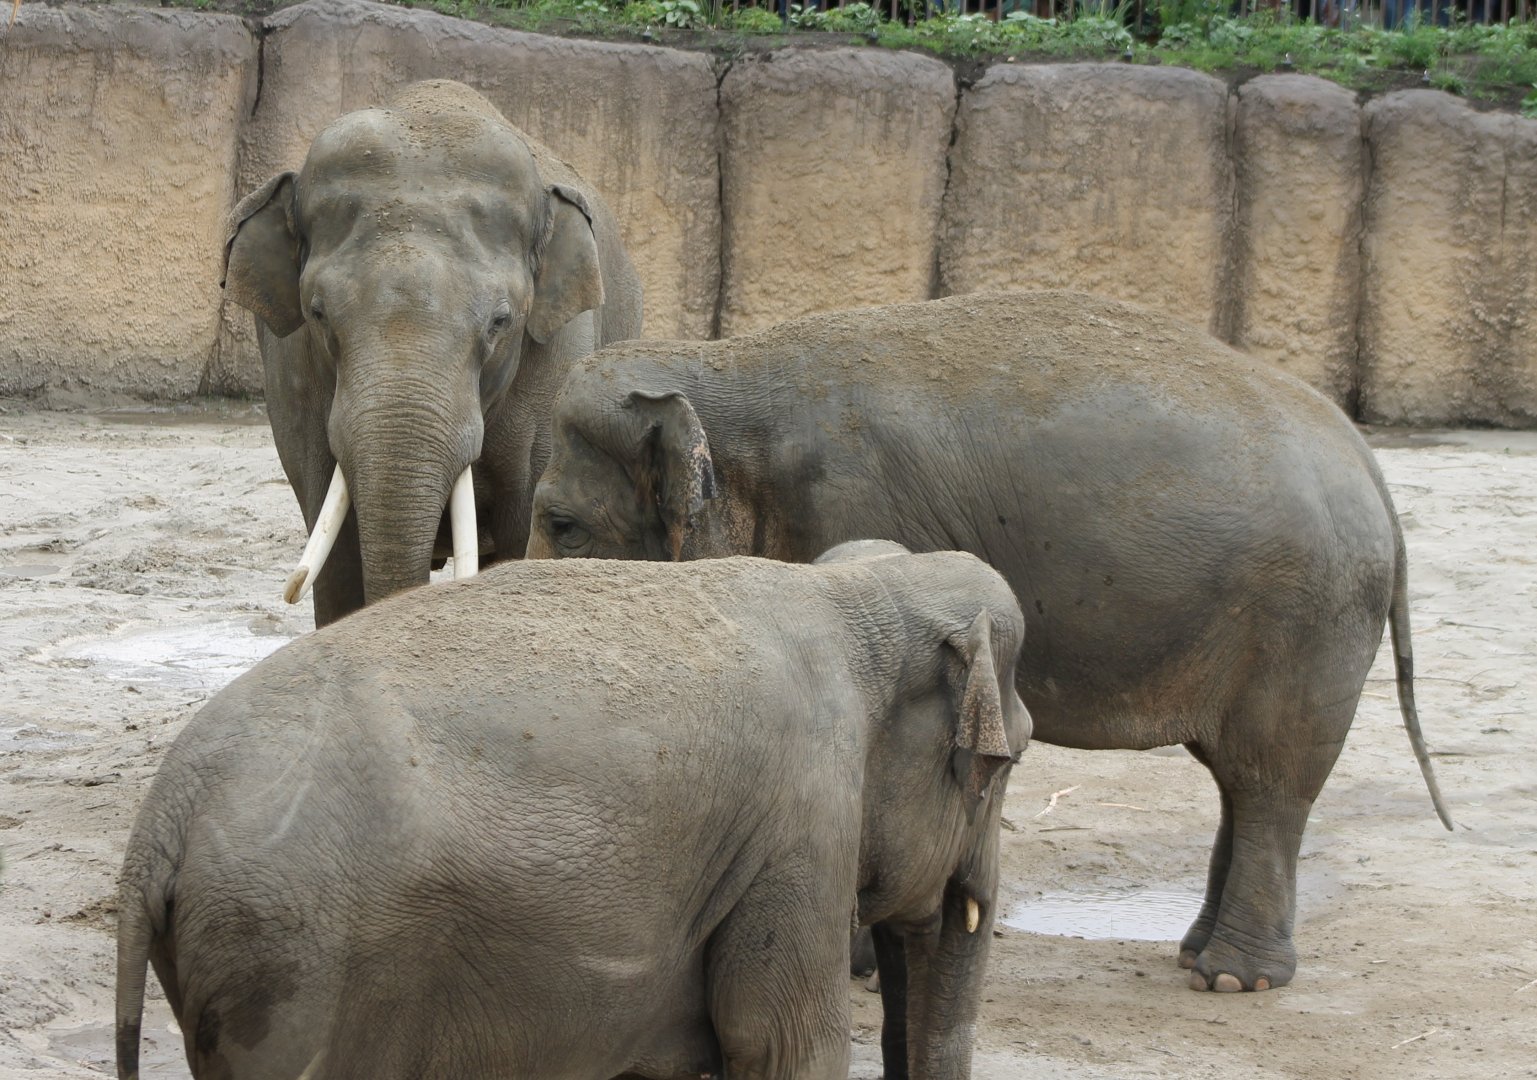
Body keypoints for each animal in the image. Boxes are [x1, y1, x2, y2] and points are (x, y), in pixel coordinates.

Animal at [116, 547, 1031, 1080]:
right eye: (1007, 763)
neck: (854, 598)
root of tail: (157, 823)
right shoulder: (799, 830)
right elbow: (780, 1046)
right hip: (295, 962)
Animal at [222, 79, 642, 627]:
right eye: (318, 314)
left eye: (501, 321)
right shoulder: (293, 377)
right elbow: (336, 561)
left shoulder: (558, 356)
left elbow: (523, 535)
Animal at [526, 289, 1455, 1001]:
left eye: (563, 525)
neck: (720, 367)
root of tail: (1370, 466)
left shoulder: (851, 507)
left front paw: (859, 969)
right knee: (1237, 780)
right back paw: (1199, 953)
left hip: (1308, 617)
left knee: (1270, 779)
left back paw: (1230, 979)